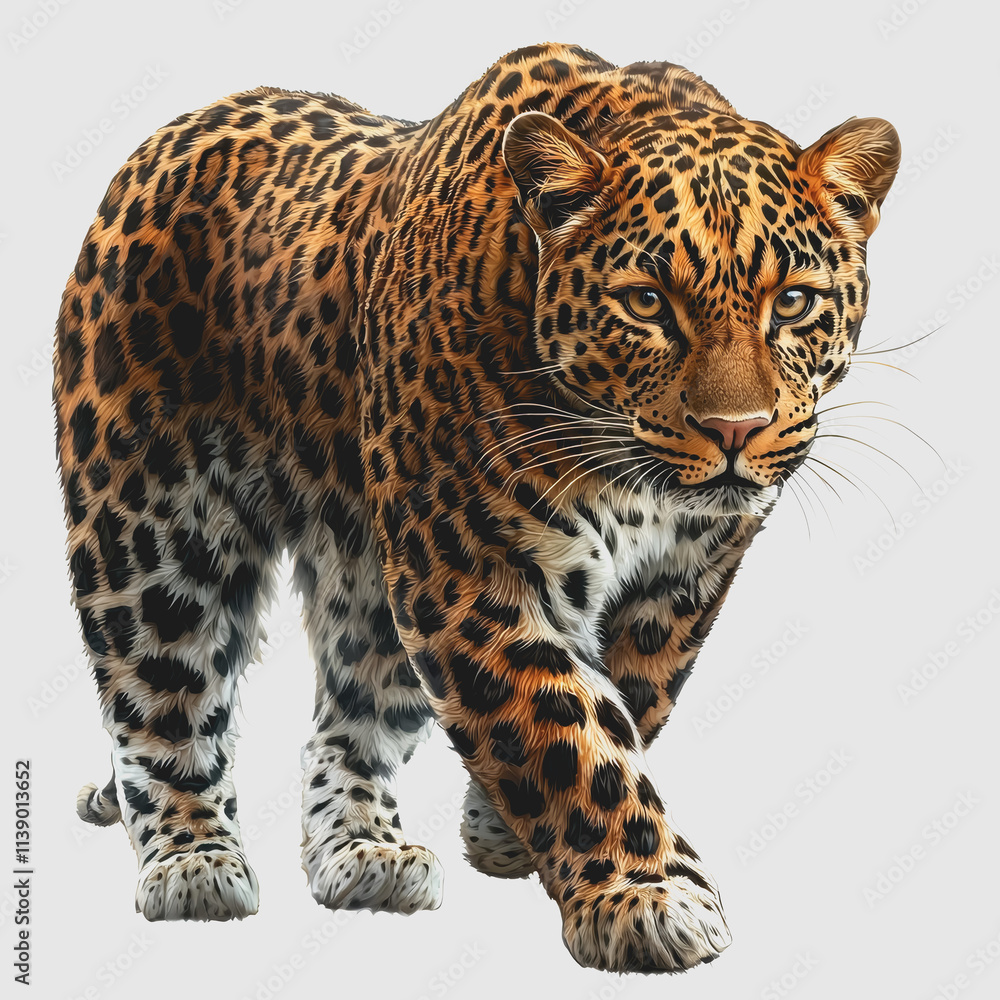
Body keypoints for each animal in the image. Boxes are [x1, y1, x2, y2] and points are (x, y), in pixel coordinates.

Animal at [53, 41, 899, 973]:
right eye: (646, 302)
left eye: (793, 301)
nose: (736, 431)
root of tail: (171, 136)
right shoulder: (471, 575)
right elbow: (567, 732)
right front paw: (645, 896)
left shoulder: (679, 587)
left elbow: (627, 704)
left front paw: (500, 833)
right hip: (155, 523)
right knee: (161, 692)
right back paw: (192, 860)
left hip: (371, 570)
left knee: (348, 715)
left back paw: (364, 852)